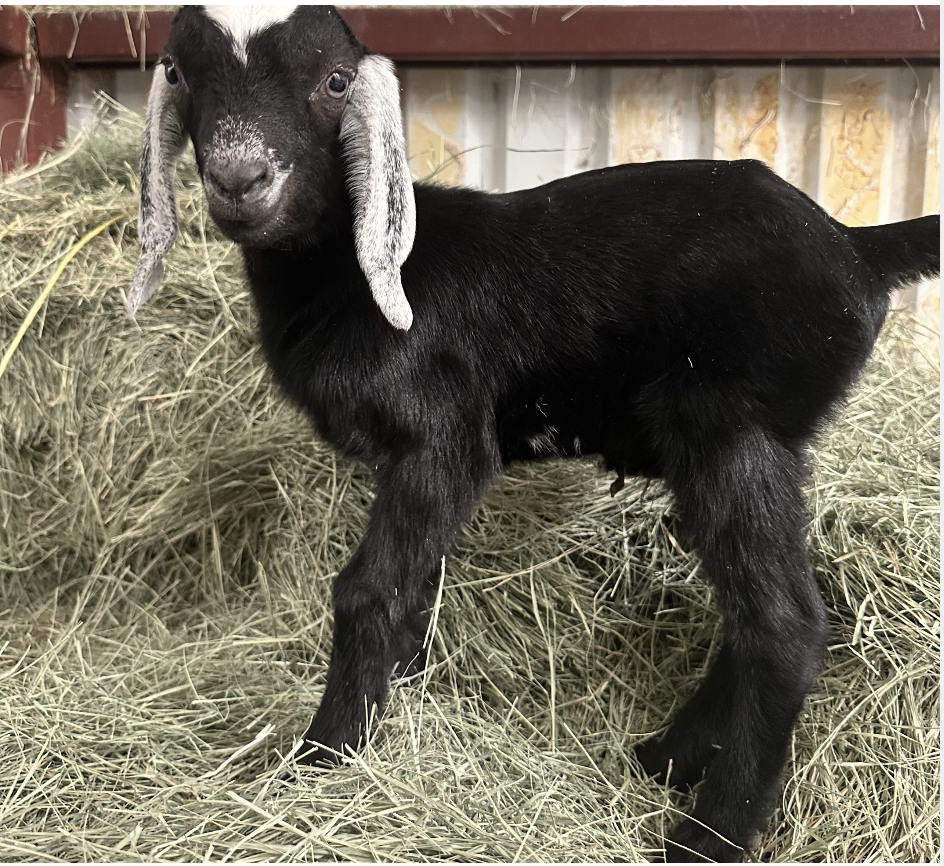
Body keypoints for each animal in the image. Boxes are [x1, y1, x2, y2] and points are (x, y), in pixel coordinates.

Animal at [129, 5, 940, 856]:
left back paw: (704, 836)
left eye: (336, 81)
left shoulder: (443, 436)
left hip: (730, 426)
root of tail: (859, 247)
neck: (348, 279)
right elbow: (417, 587)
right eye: (180, 72)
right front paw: (398, 699)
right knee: (758, 612)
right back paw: (664, 758)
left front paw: (324, 756)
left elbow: (370, 590)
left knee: (784, 627)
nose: (239, 179)